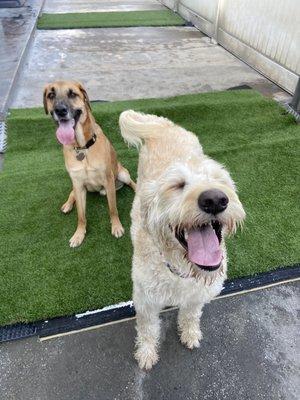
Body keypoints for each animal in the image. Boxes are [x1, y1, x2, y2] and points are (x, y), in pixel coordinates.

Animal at [43, 80, 135, 247]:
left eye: (72, 94)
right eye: (51, 95)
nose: (60, 110)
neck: (82, 147)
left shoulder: (108, 179)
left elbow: (113, 209)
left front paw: (116, 226)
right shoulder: (78, 183)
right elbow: (81, 215)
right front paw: (79, 234)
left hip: (122, 174)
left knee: (131, 182)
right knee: (72, 193)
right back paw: (67, 204)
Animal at [118, 110, 245, 372]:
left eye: (220, 180)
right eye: (177, 185)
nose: (215, 199)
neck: (181, 270)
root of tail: (165, 125)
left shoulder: (196, 296)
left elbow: (191, 314)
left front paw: (190, 333)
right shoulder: (145, 302)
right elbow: (147, 329)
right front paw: (146, 353)